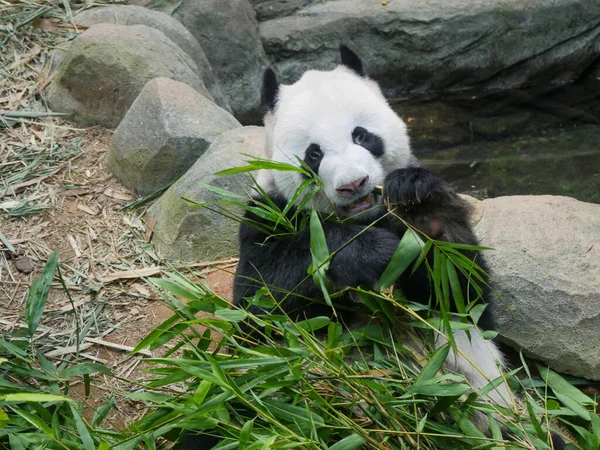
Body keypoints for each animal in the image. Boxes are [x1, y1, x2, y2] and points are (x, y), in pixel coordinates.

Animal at [182, 45, 564, 450]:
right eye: (314, 154)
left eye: (362, 135)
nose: (354, 184)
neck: (362, 217)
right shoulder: (267, 215)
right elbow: (262, 300)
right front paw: (371, 253)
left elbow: (462, 295)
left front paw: (416, 203)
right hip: (245, 405)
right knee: (221, 420)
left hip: (493, 416)